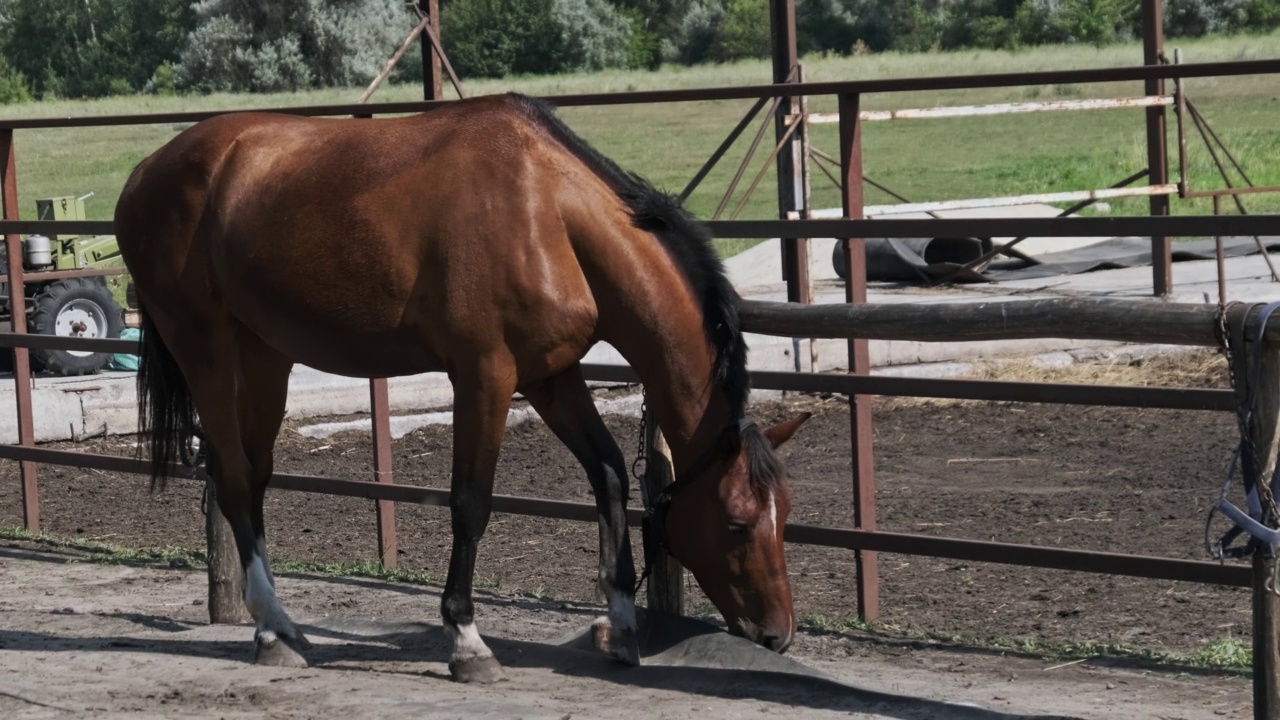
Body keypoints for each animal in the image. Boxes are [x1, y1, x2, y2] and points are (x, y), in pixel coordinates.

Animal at [112, 92, 808, 681]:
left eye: (785, 515)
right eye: (738, 523)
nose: (777, 633)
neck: (550, 211)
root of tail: (146, 173)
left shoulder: (552, 376)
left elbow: (609, 474)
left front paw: (620, 624)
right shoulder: (485, 375)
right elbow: (471, 502)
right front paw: (467, 641)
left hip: (265, 356)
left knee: (253, 479)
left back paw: (278, 627)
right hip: (205, 349)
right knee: (231, 478)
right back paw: (272, 632)